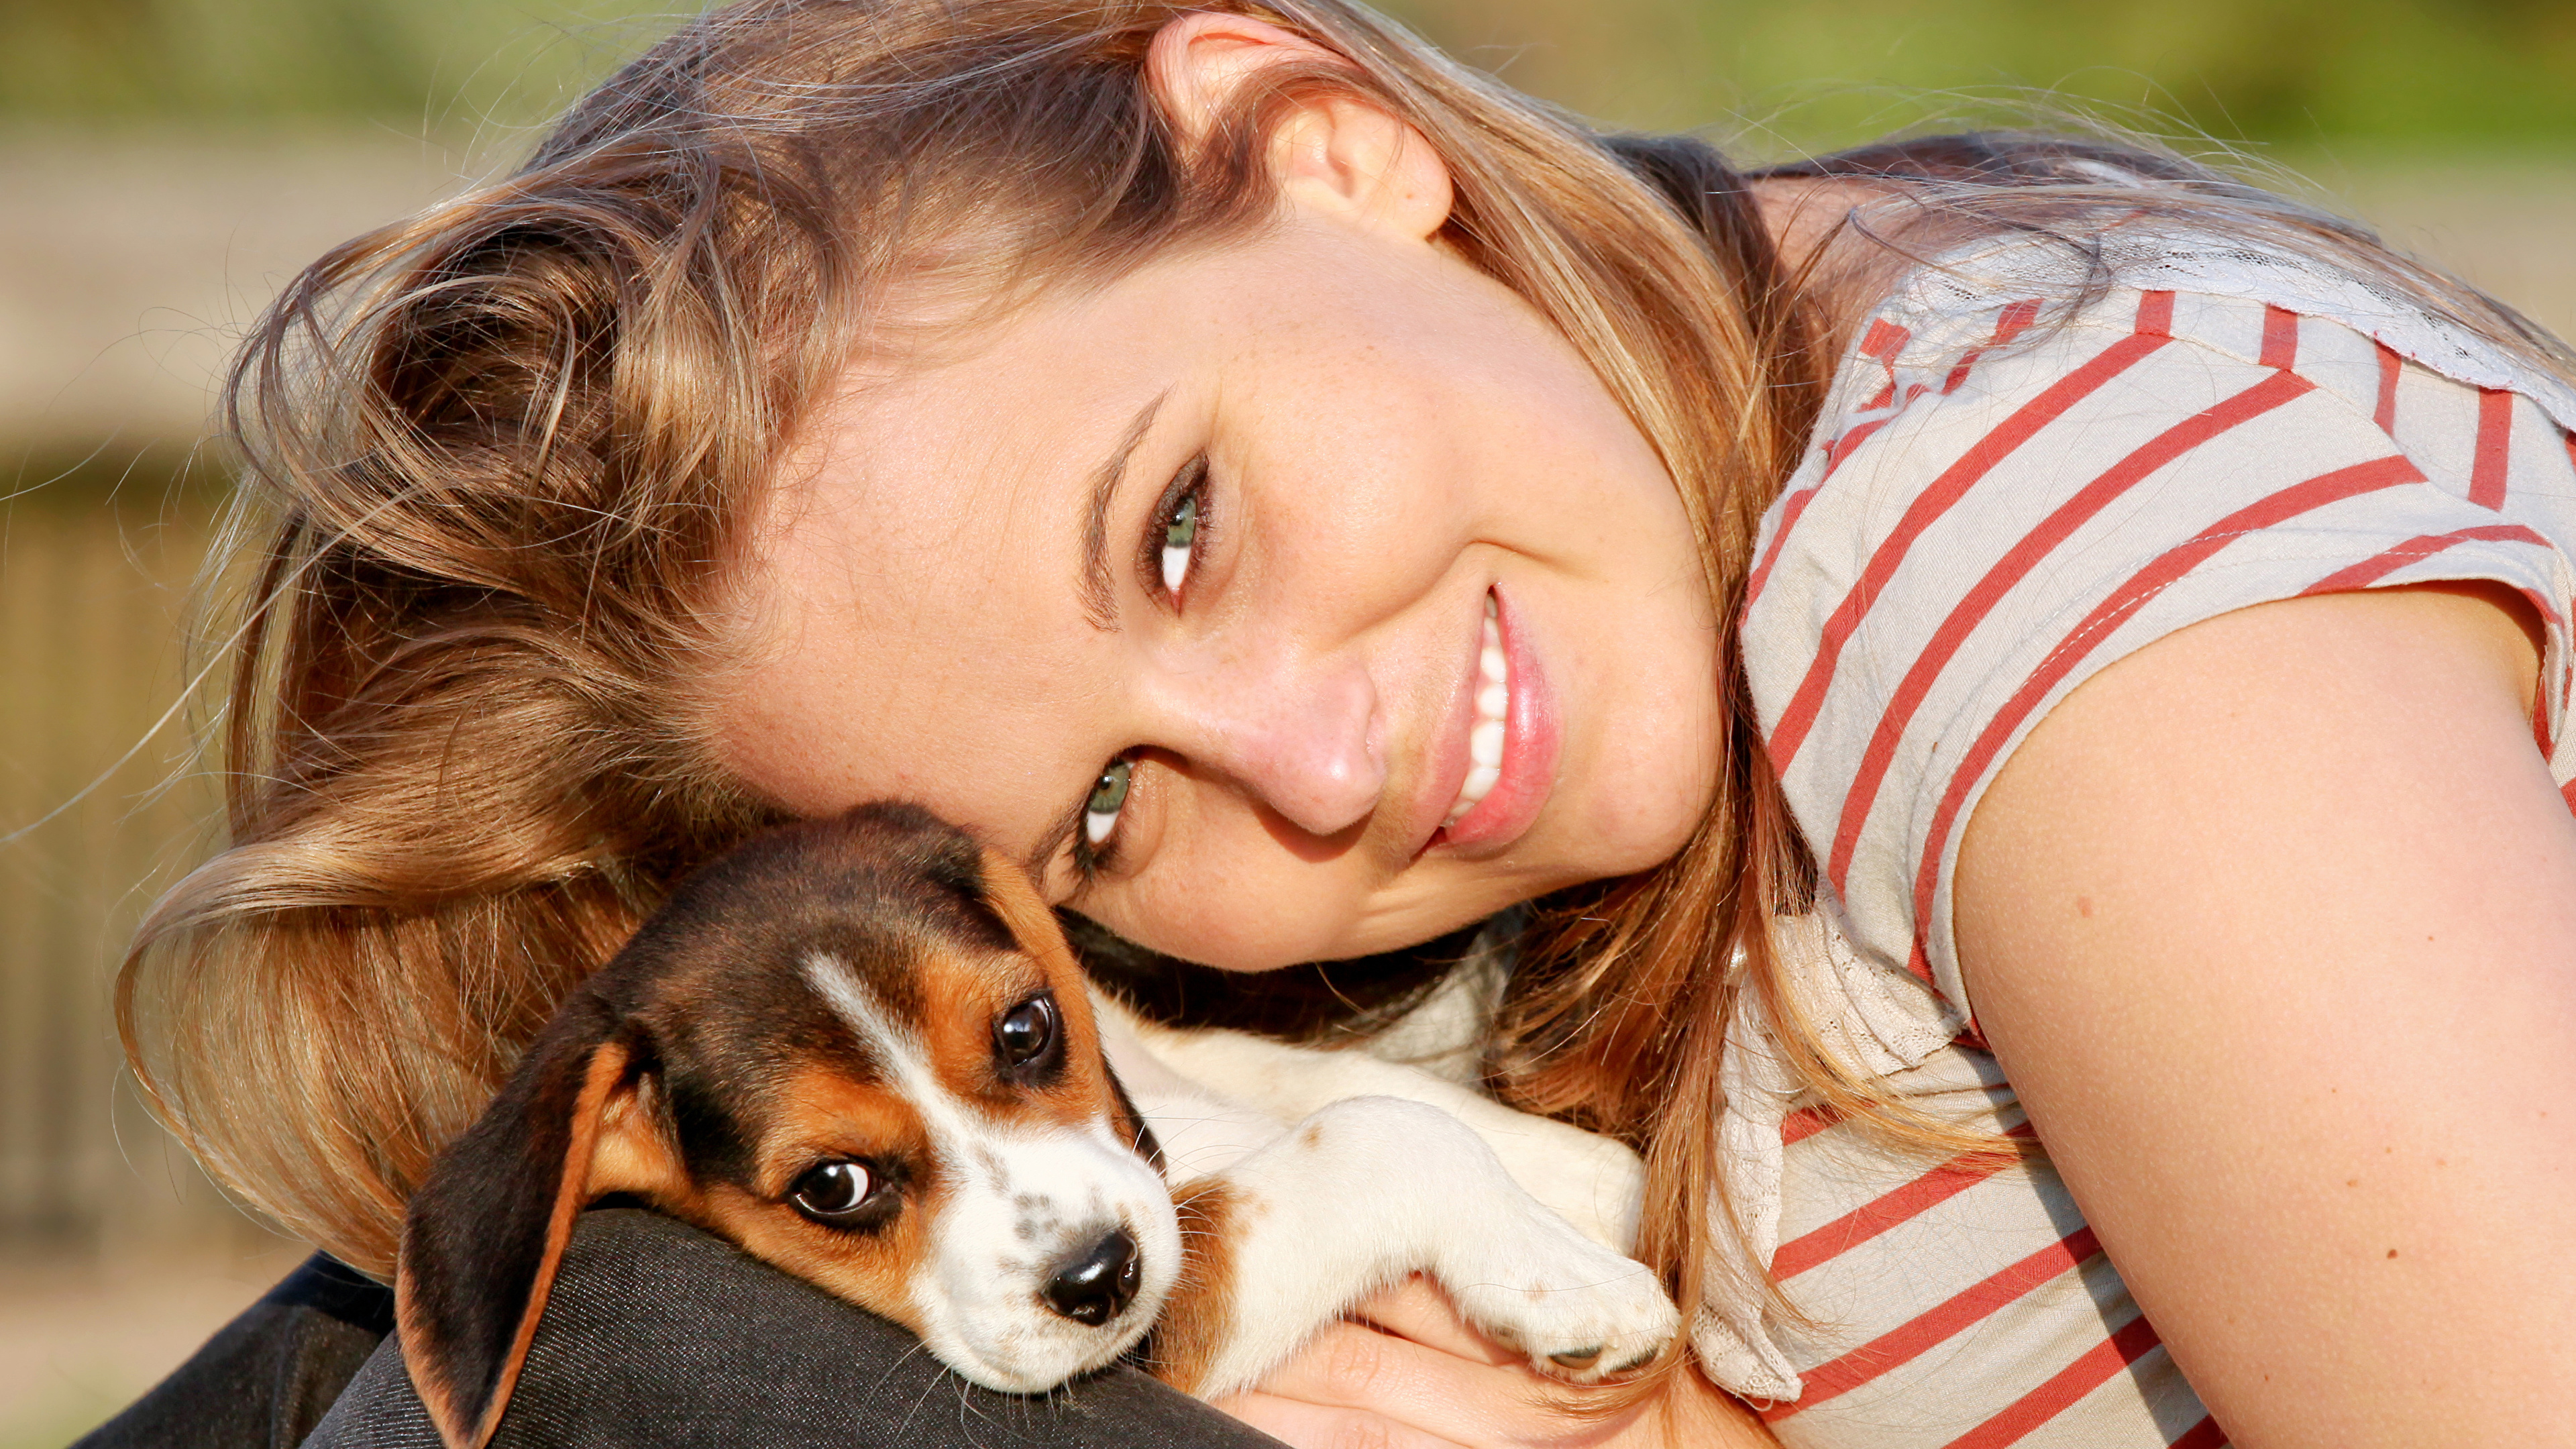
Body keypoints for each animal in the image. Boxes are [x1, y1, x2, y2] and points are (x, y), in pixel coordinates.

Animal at [391, 799, 1679, 1444]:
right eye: (832, 1189)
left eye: (1025, 1030)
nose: (1102, 1280)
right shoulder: (1183, 1308)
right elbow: (1380, 1128)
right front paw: (1573, 1282)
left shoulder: (1177, 1068)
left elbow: (1386, 1097)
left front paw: (1594, 1200)